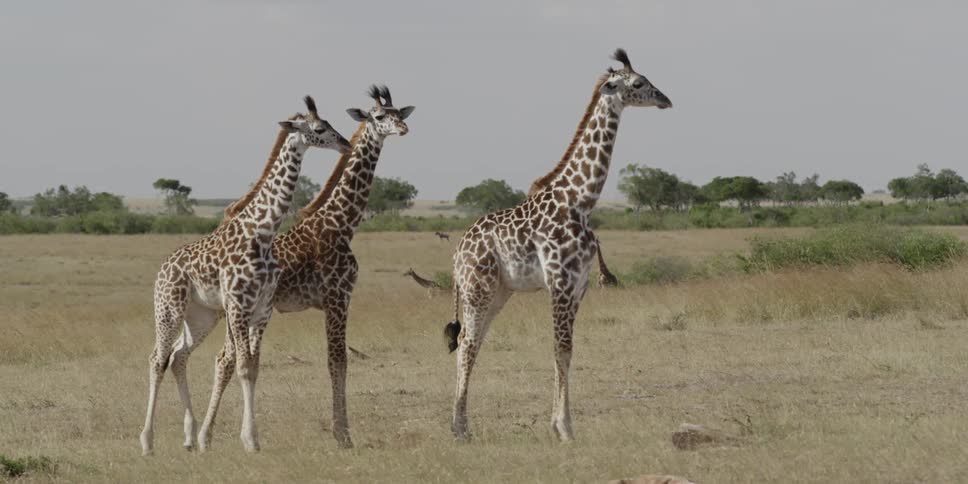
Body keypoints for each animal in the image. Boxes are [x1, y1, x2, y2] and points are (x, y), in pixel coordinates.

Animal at [139, 96, 351, 456]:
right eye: (319, 128)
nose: (345, 143)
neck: (262, 232)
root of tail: (163, 268)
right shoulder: (239, 305)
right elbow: (239, 365)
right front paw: (249, 440)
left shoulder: (262, 309)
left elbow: (252, 367)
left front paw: (251, 438)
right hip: (168, 308)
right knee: (157, 358)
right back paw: (147, 441)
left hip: (201, 316)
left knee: (178, 357)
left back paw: (189, 436)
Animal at [188, 85, 413, 451]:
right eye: (380, 116)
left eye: (398, 113)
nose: (404, 129)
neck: (341, 223)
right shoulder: (338, 297)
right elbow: (338, 361)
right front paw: (343, 435)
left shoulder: (336, 300)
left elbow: (336, 361)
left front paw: (341, 432)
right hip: (238, 311)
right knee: (226, 359)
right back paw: (211, 436)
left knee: (224, 359)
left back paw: (206, 437)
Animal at [443, 49, 671, 441]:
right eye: (639, 83)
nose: (666, 100)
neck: (581, 200)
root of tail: (458, 251)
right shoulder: (560, 282)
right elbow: (559, 347)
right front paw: (563, 428)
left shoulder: (579, 286)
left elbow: (567, 351)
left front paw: (562, 425)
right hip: (477, 288)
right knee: (467, 345)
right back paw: (460, 429)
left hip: (499, 291)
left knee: (474, 342)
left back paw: (463, 425)